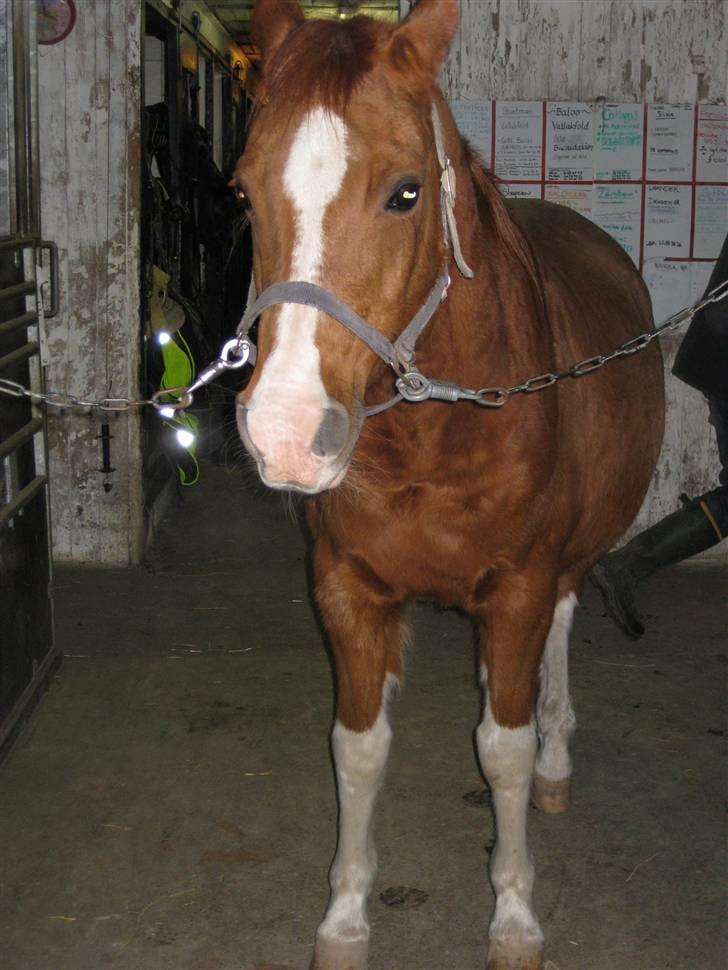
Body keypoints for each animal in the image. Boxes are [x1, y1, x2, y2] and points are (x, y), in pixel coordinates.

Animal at [232, 1, 665, 967]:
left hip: (567, 566)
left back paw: (556, 764)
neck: (435, 433)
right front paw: (344, 917)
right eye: (241, 192)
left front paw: (514, 916)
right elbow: (357, 750)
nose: (286, 434)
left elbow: (501, 750)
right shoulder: (348, 592)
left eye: (406, 192)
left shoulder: (519, 590)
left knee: (561, 638)